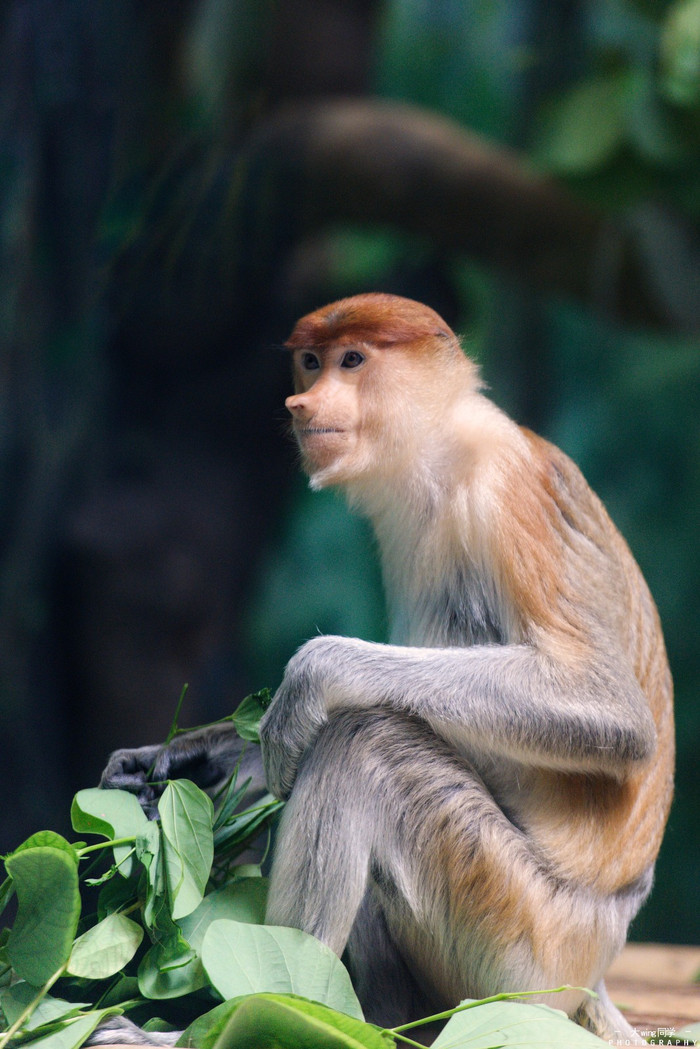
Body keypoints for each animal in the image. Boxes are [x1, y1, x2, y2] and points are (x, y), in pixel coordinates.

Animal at [101, 291, 675, 1044]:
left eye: (352, 360)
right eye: (310, 361)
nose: (302, 402)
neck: (443, 448)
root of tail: (597, 967)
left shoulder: (504, 494)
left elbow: (609, 706)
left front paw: (308, 679)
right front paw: (171, 762)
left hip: (522, 944)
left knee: (366, 746)